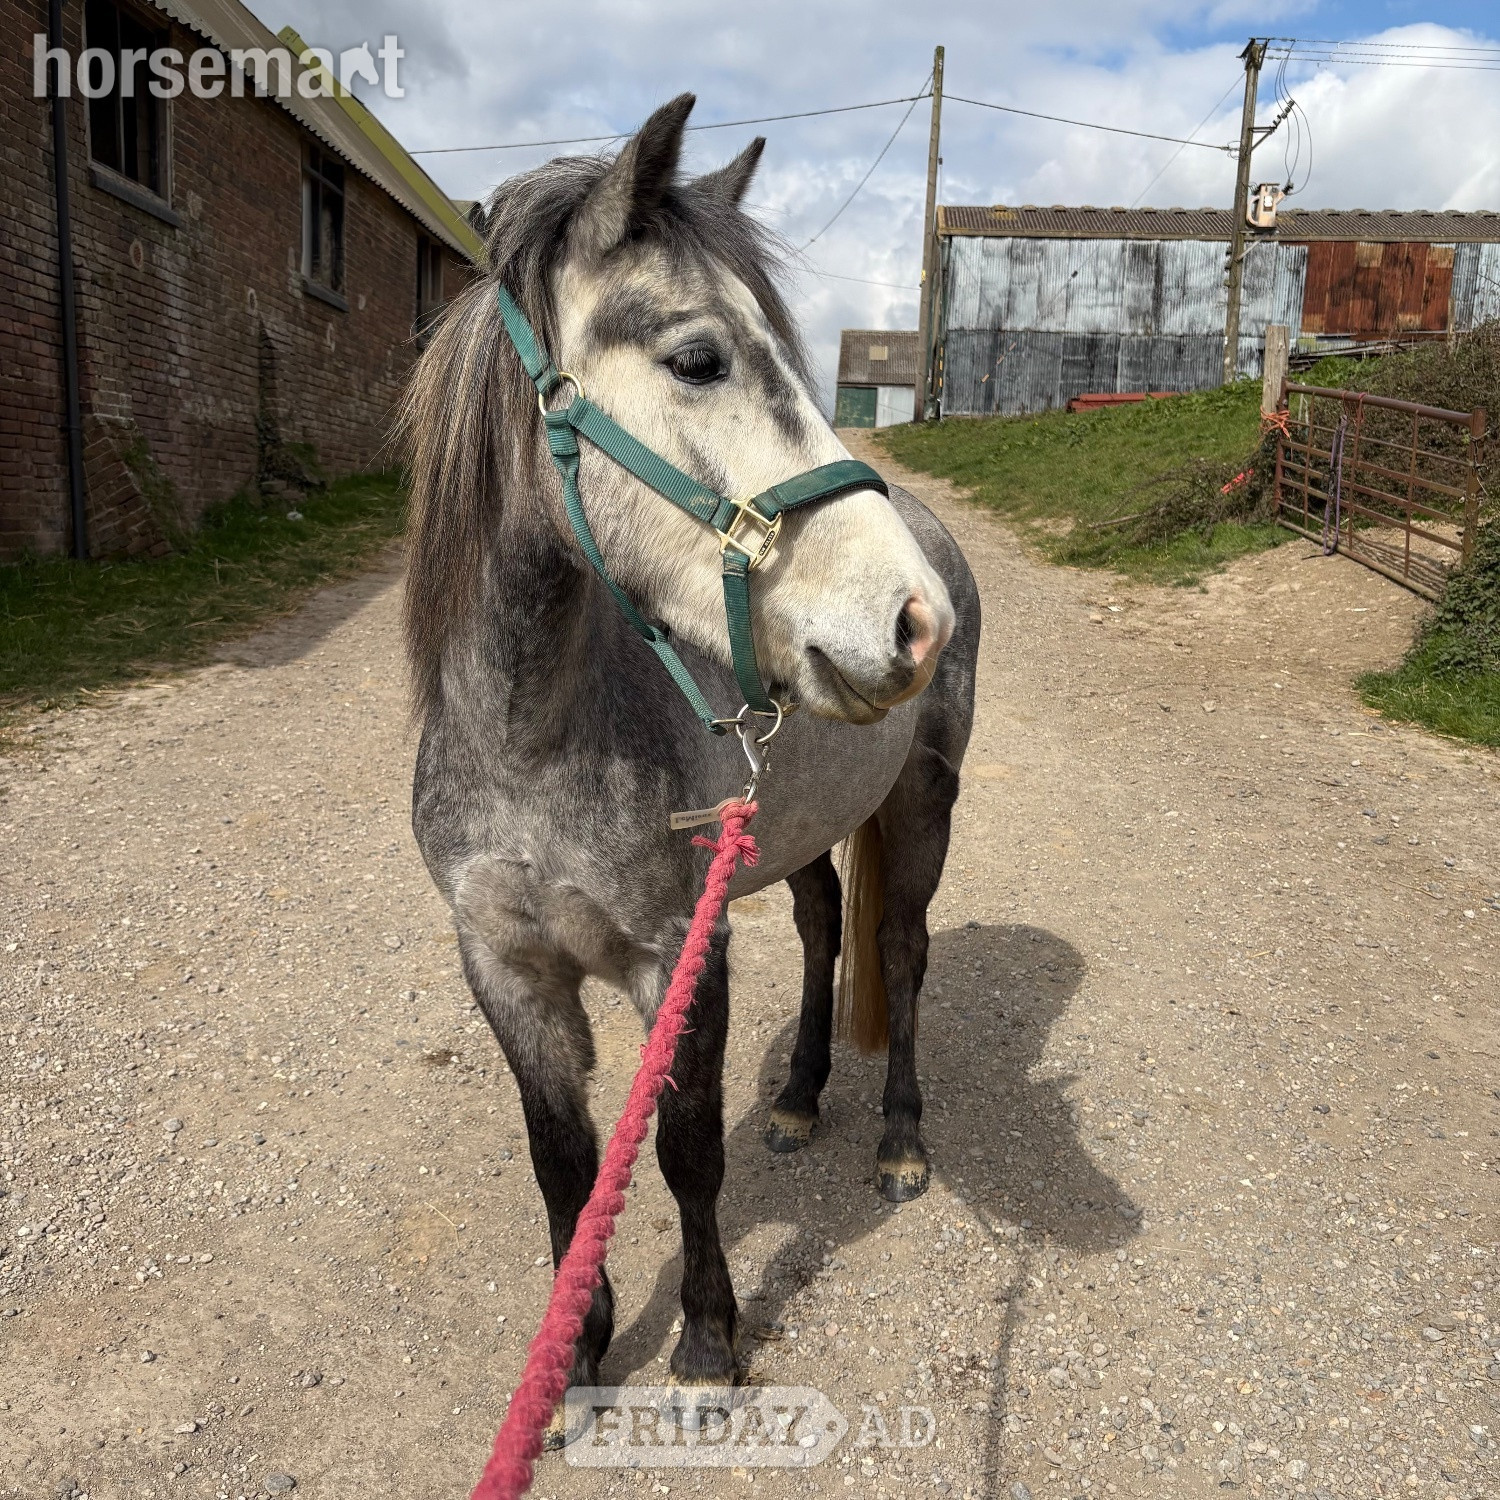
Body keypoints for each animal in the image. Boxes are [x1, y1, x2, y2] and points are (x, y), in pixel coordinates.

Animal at [401, 93, 980, 1400]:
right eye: (699, 359)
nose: (914, 620)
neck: (531, 747)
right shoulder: (503, 968)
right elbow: (564, 1159)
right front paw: (579, 1347)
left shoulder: (681, 952)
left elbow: (685, 1149)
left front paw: (709, 1335)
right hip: (797, 827)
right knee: (825, 932)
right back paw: (804, 1098)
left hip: (922, 803)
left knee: (903, 951)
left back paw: (900, 1140)